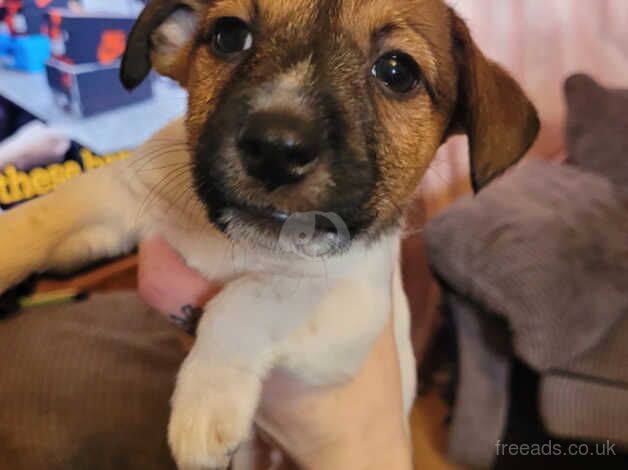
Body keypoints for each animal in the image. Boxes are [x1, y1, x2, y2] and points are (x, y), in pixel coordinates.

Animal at [0, 1, 540, 468]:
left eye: (397, 71)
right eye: (228, 35)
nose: (276, 149)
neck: (237, 240)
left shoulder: (349, 308)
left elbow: (254, 293)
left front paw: (205, 399)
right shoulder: (120, 193)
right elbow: (42, 215)